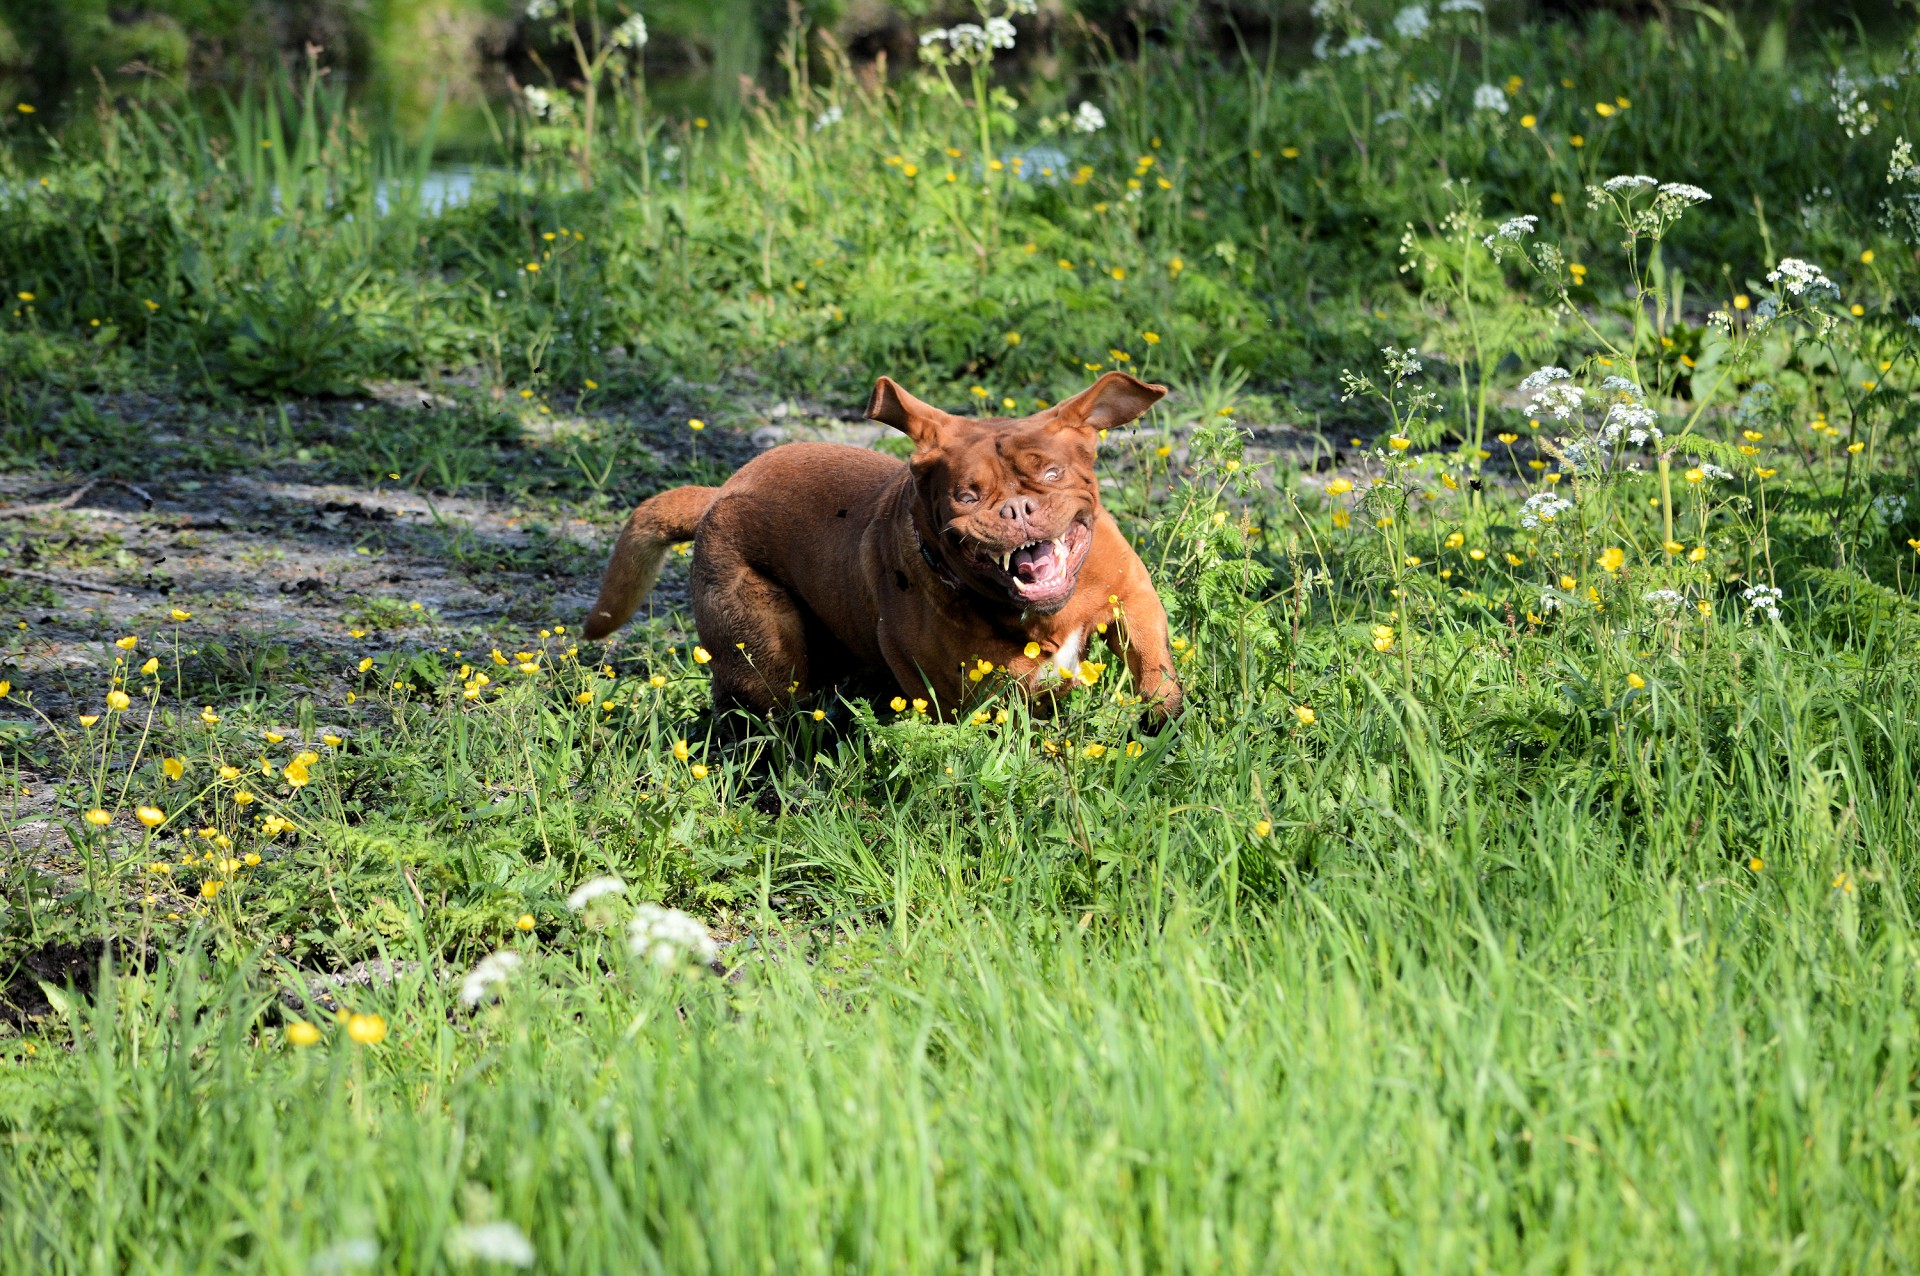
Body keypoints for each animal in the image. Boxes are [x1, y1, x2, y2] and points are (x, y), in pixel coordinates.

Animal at [579, 374, 1182, 721]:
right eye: (967, 495)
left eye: (1052, 473)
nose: (1016, 510)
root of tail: (718, 494)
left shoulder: (1133, 598)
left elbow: (1155, 669)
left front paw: (1163, 719)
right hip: (765, 651)